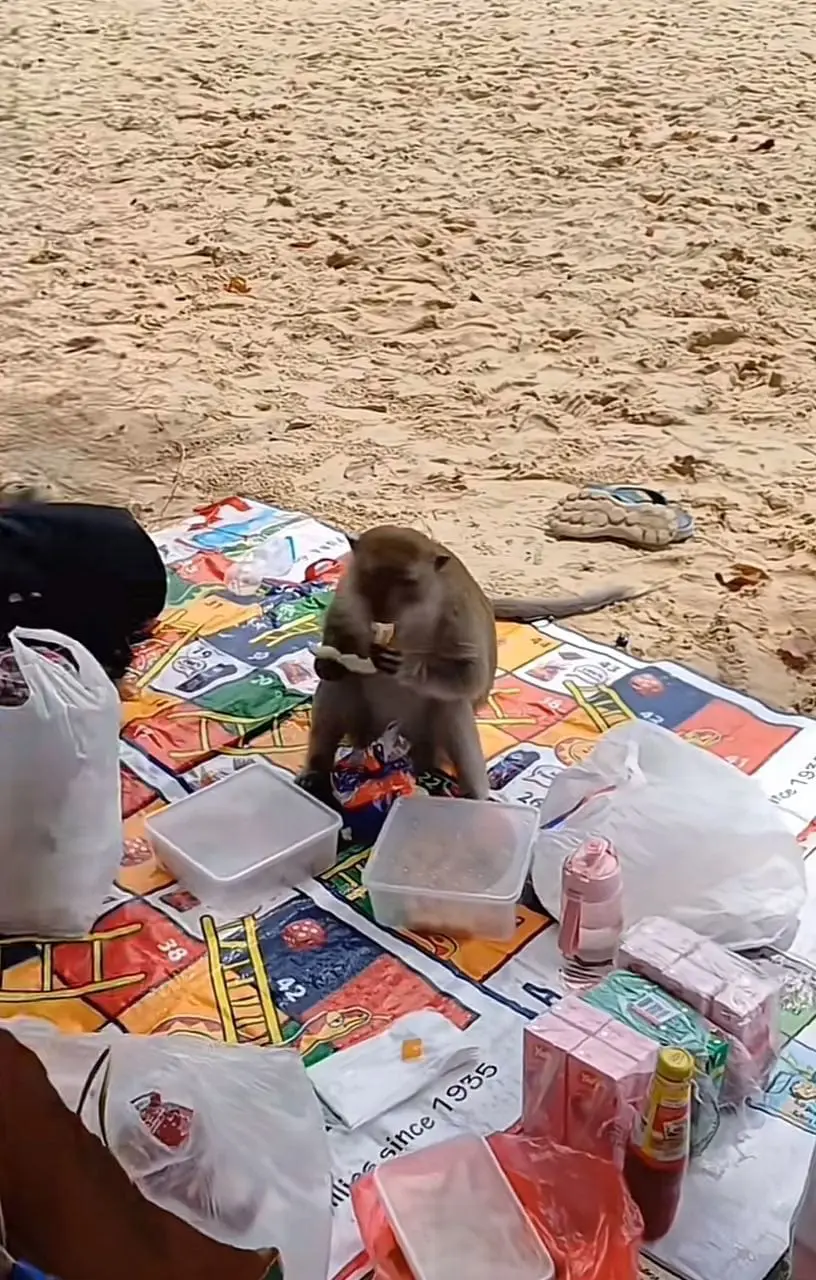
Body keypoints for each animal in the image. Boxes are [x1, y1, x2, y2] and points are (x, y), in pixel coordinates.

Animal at [297, 525, 656, 807]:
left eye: (407, 583)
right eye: (369, 577)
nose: (382, 614)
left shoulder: (455, 611)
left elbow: (470, 674)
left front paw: (405, 666)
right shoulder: (348, 593)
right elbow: (337, 636)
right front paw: (328, 662)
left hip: (426, 739)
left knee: (451, 706)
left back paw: (476, 798)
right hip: (364, 728)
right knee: (342, 685)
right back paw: (316, 770)